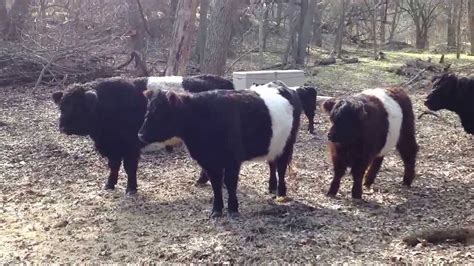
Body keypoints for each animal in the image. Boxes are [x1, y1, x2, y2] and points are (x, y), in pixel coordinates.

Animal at [52, 74, 235, 194]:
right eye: (62, 106)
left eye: (78, 107)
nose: (62, 127)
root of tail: (226, 83)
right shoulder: (113, 148)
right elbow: (114, 166)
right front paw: (109, 185)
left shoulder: (130, 147)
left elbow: (129, 167)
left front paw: (131, 189)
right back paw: (202, 181)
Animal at [138, 80, 300, 217]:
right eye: (147, 111)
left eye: (161, 112)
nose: (140, 134)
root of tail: (281, 85)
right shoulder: (208, 161)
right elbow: (215, 184)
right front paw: (216, 210)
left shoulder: (233, 159)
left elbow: (230, 182)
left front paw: (233, 209)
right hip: (274, 144)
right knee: (272, 164)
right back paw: (271, 187)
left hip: (287, 144)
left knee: (281, 167)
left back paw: (281, 193)